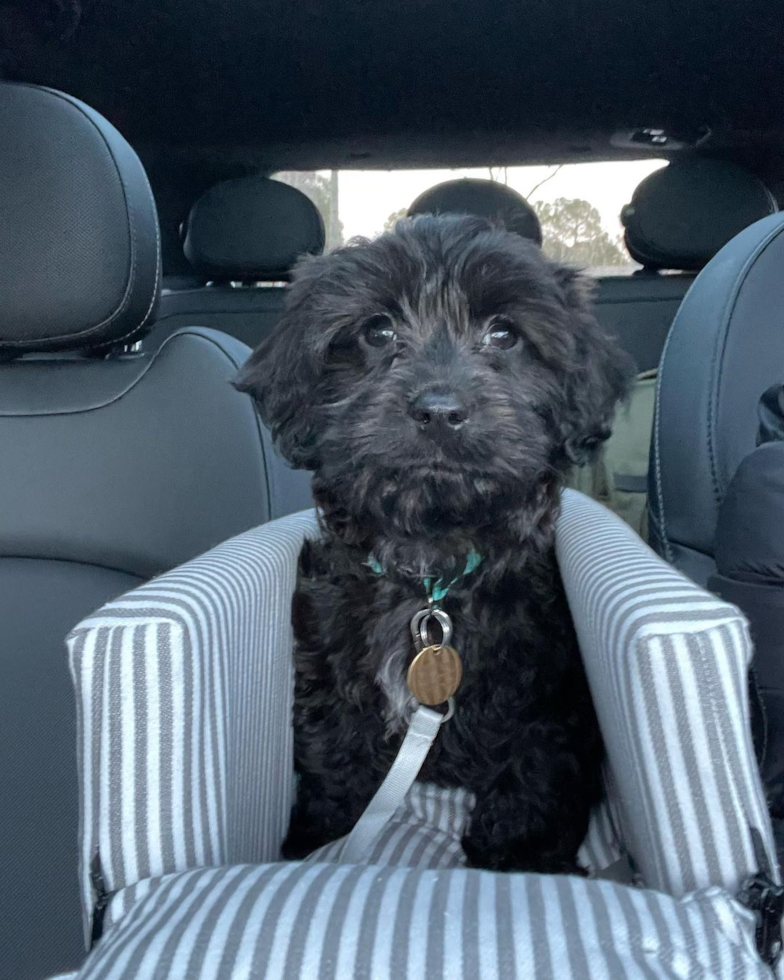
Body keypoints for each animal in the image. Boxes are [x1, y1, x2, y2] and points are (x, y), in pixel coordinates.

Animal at [236, 216, 632, 872]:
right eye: (377, 330)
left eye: (504, 334)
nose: (439, 410)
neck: (431, 565)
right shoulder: (330, 669)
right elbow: (336, 758)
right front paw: (319, 836)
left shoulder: (548, 698)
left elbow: (532, 777)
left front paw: (519, 858)